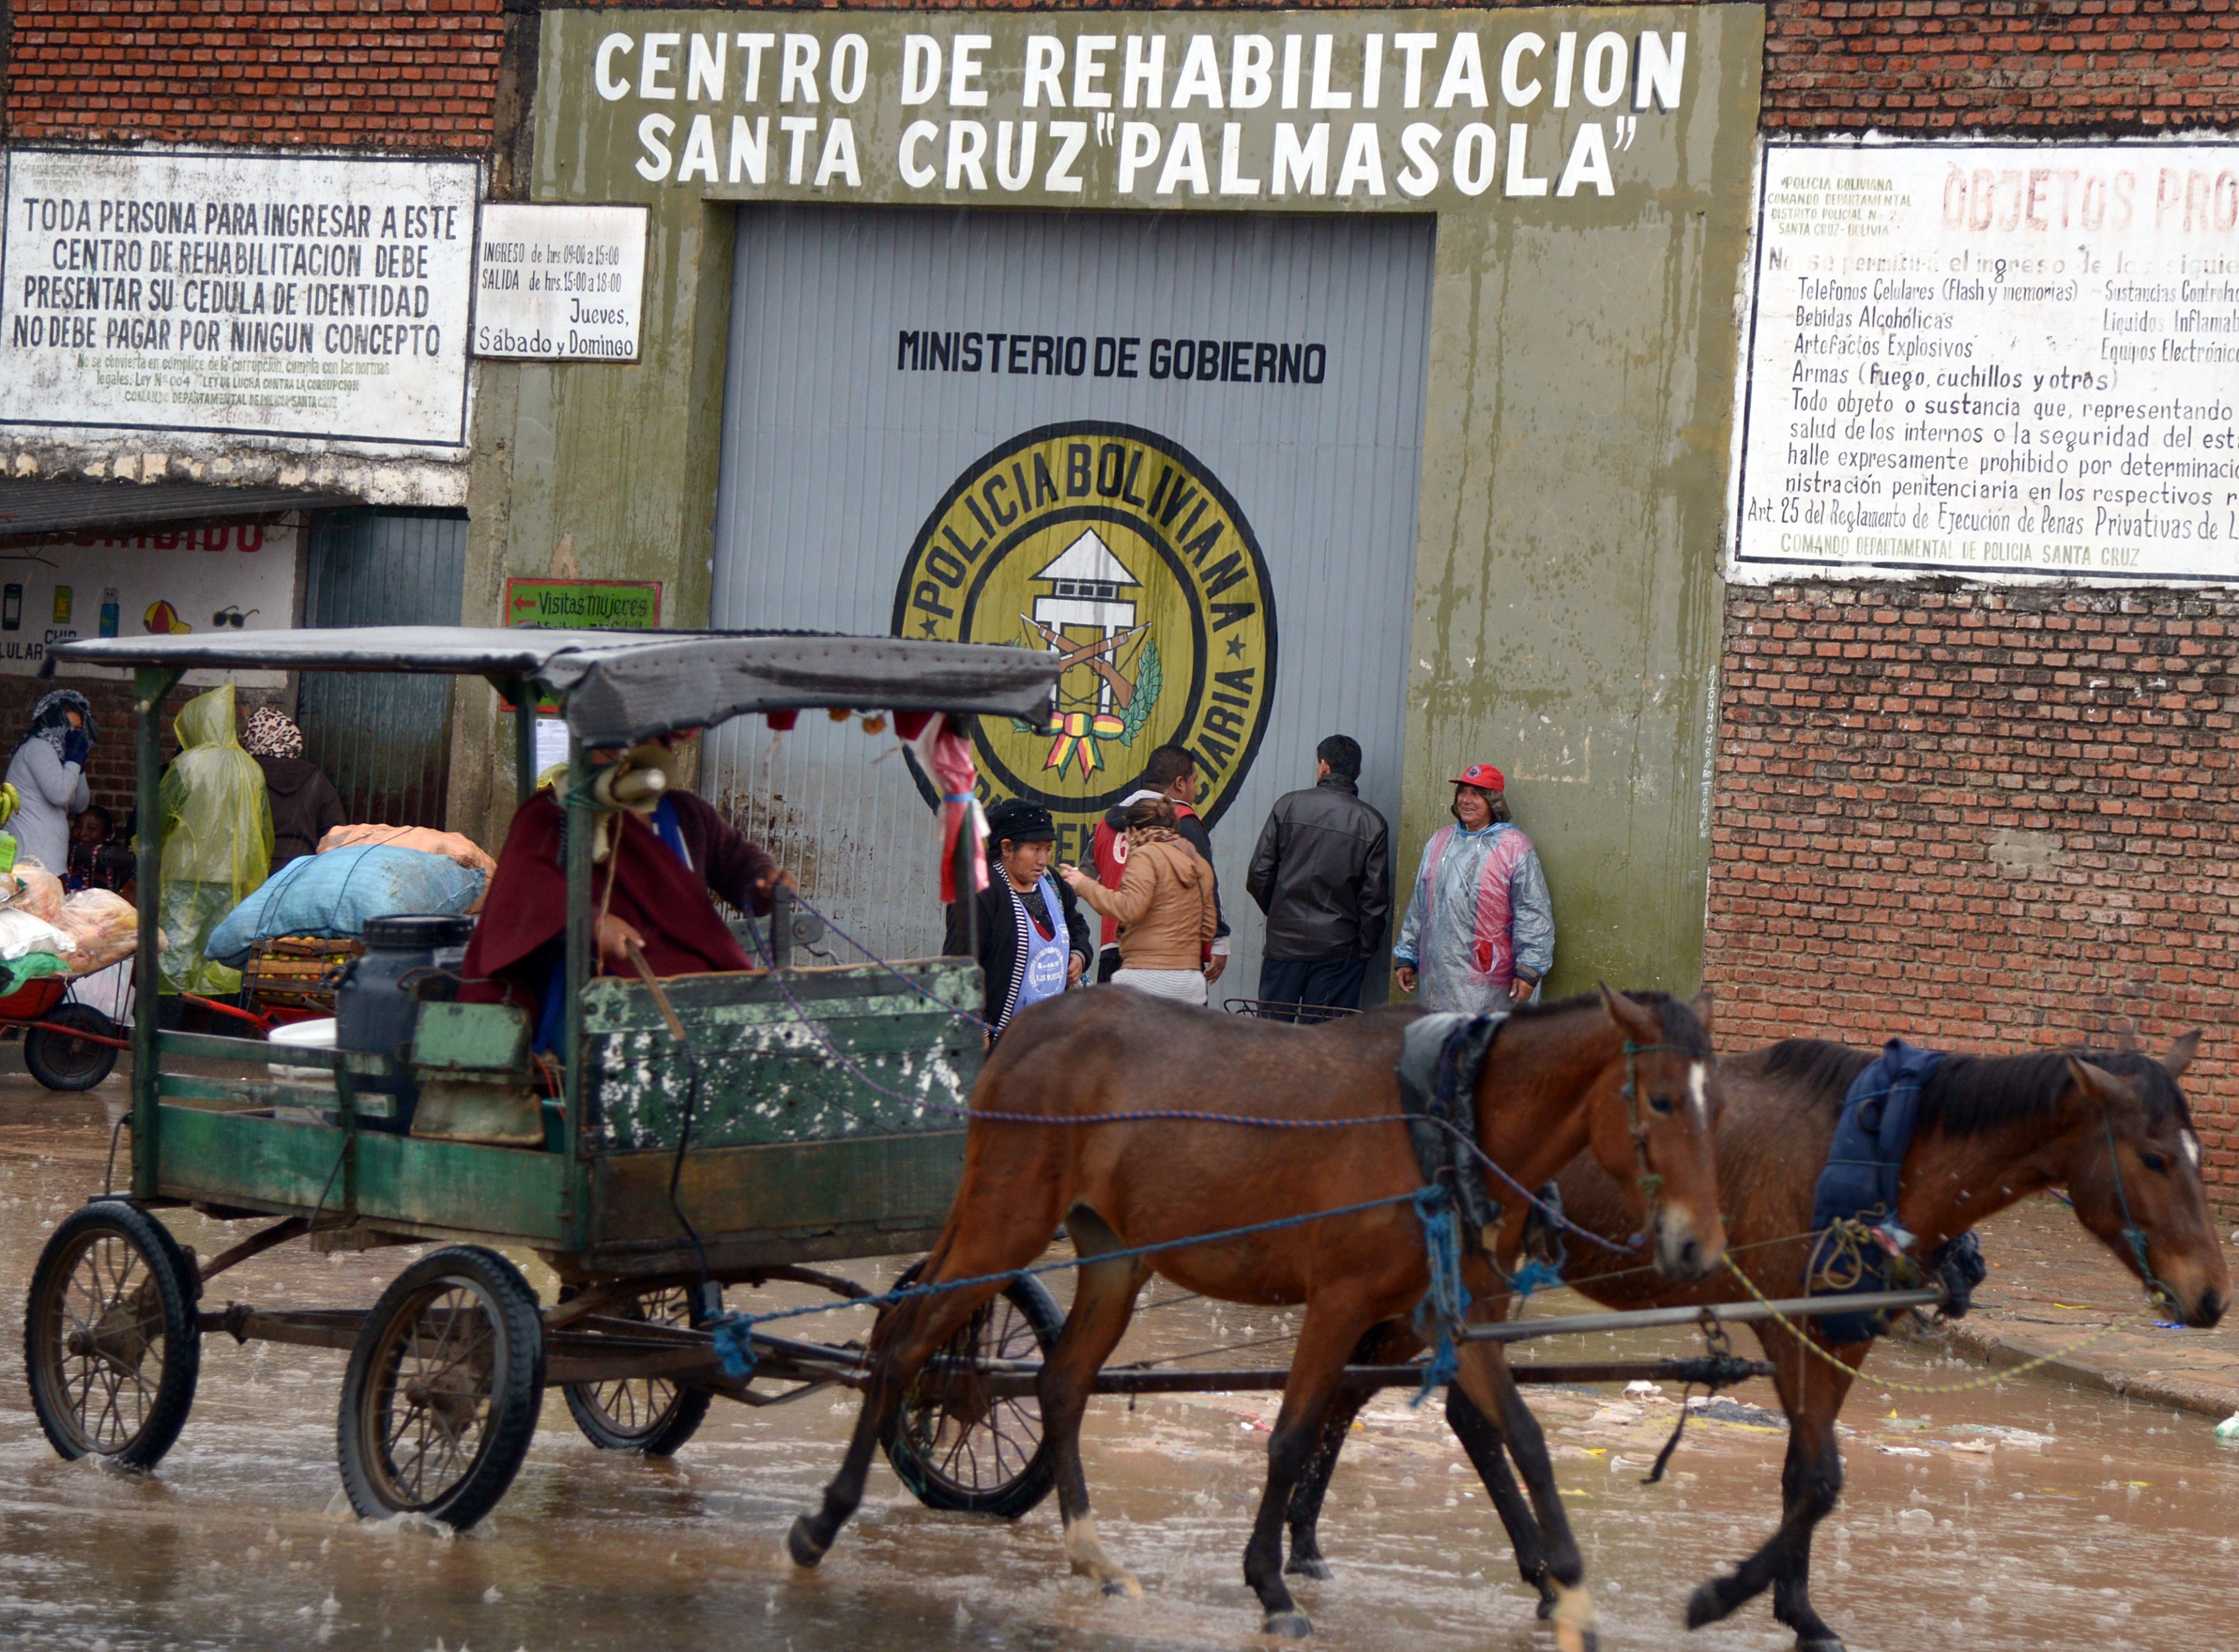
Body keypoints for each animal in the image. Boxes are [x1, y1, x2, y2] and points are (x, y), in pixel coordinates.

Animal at [788, 985, 1728, 1638]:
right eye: (1661, 1100)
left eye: (1714, 1103)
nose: (1699, 1243)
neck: (1443, 1116)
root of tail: (1025, 1025)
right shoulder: (1339, 1302)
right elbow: (1291, 1437)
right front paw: (1271, 1585)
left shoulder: (1445, 1315)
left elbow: (1525, 1439)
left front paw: (1568, 1591)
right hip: (1004, 1225)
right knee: (901, 1343)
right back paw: (824, 1521)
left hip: (1114, 1259)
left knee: (1059, 1386)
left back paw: (1094, 1555)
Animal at [1289, 1034, 2230, 1638]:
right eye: (2153, 1158)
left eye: (2196, 1156)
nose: (2213, 1295)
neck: (1884, 1151)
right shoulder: (1791, 1330)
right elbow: (1819, 1478)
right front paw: (1725, 1597)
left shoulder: (1844, 1335)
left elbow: (1803, 1476)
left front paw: (1797, 1608)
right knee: (1368, 1389)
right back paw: (1310, 1543)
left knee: (1433, 1404)